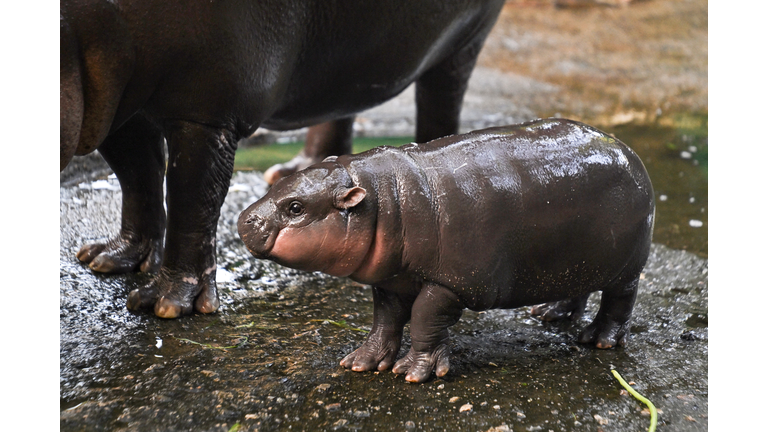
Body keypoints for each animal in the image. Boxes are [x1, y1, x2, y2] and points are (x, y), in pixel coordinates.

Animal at [60, 0, 504, 318]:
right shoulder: (114, 106)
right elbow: (138, 179)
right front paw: (109, 259)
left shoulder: (207, 112)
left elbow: (191, 199)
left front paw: (165, 304)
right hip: (344, 59)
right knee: (341, 100)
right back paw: (296, 170)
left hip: (465, 39)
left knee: (441, 97)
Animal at [238, 117, 656, 382]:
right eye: (283, 181)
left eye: (296, 207)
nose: (244, 219)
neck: (386, 200)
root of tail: (627, 149)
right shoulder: (392, 280)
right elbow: (384, 320)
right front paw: (361, 362)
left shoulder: (451, 283)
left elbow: (423, 317)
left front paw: (412, 373)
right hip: (578, 257)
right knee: (578, 288)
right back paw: (550, 315)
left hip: (627, 266)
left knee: (620, 300)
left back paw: (598, 340)